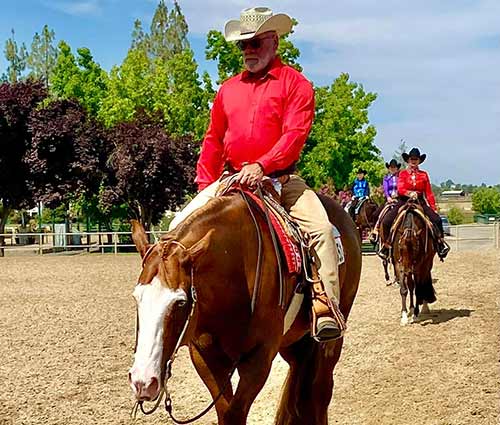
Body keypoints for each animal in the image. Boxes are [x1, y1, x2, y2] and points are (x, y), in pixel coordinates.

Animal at [129, 193, 362, 424]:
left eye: (181, 302)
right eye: (136, 298)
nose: (143, 382)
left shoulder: (259, 357)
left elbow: (235, 413)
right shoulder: (204, 357)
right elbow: (225, 412)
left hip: (331, 339)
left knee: (320, 391)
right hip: (294, 342)